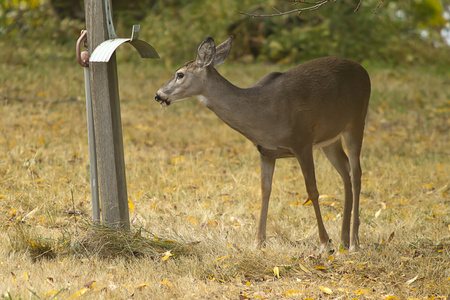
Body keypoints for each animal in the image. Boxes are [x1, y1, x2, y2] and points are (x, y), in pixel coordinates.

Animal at [156, 35, 370, 251]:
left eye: (180, 74)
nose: (158, 95)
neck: (263, 113)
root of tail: (363, 70)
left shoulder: (302, 141)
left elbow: (312, 190)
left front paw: (324, 243)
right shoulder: (265, 150)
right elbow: (265, 190)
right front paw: (259, 242)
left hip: (357, 120)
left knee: (356, 173)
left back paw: (354, 241)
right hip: (330, 139)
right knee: (345, 172)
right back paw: (344, 239)